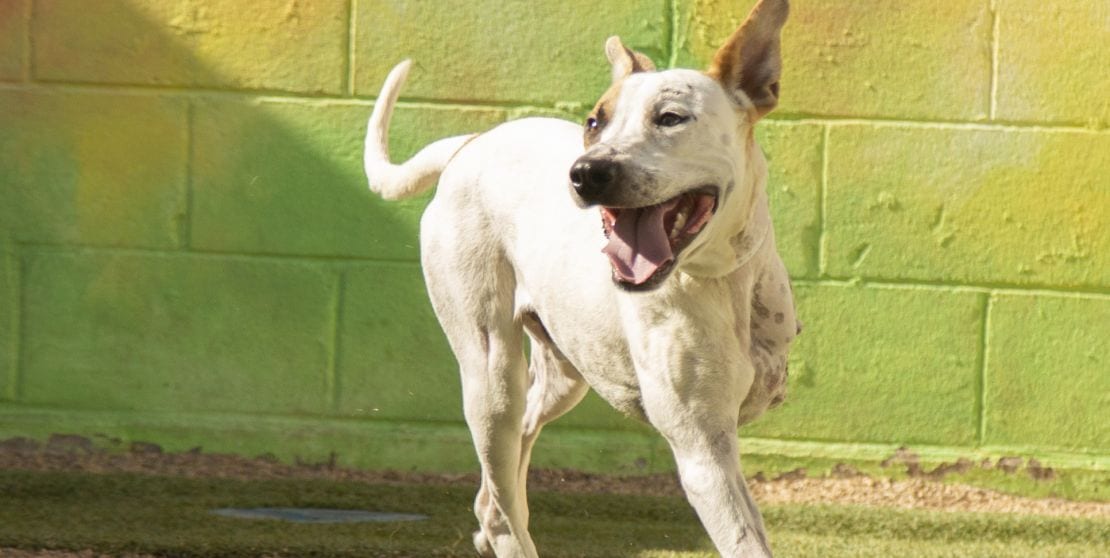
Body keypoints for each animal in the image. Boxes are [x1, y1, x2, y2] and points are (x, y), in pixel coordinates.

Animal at [364, 1, 799, 554]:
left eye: (671, 118)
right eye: (594, 122)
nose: (587, 171)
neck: (722, 283)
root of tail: (474, 142)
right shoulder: (704, 452)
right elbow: (746, 540)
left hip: (562, 379)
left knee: (500, 485)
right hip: (491, 378)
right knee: (504, 498)